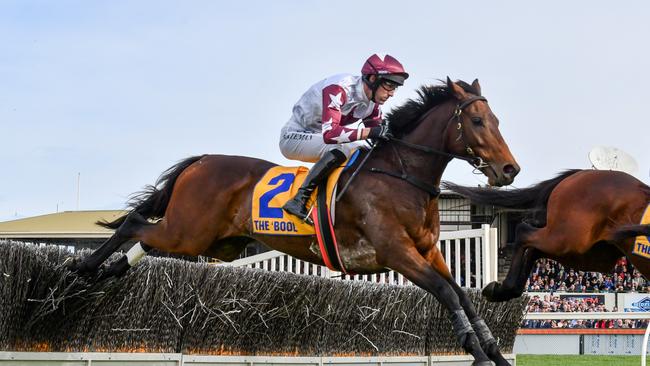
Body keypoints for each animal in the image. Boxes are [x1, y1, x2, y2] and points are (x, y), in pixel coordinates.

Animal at [71, 78, 516, 364]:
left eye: (497, 120)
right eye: (477, 121)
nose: (510, 170)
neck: (400, 174)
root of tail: (202, 160)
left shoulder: (427, 250)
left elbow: (461, 295)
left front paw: (493, 351)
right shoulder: (396, 253)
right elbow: (444, 293)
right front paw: (476, 352)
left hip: (207, 240)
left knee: (146, 240)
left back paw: (109, 271)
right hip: (188, 232)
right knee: (134, 223)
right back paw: (86, 267)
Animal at [442, 170, 648, 302]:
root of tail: (578, 174)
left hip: (591, 254)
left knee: (534, 250)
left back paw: (506, 290)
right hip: (568, 239)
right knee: (523, 232)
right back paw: (503, 289)